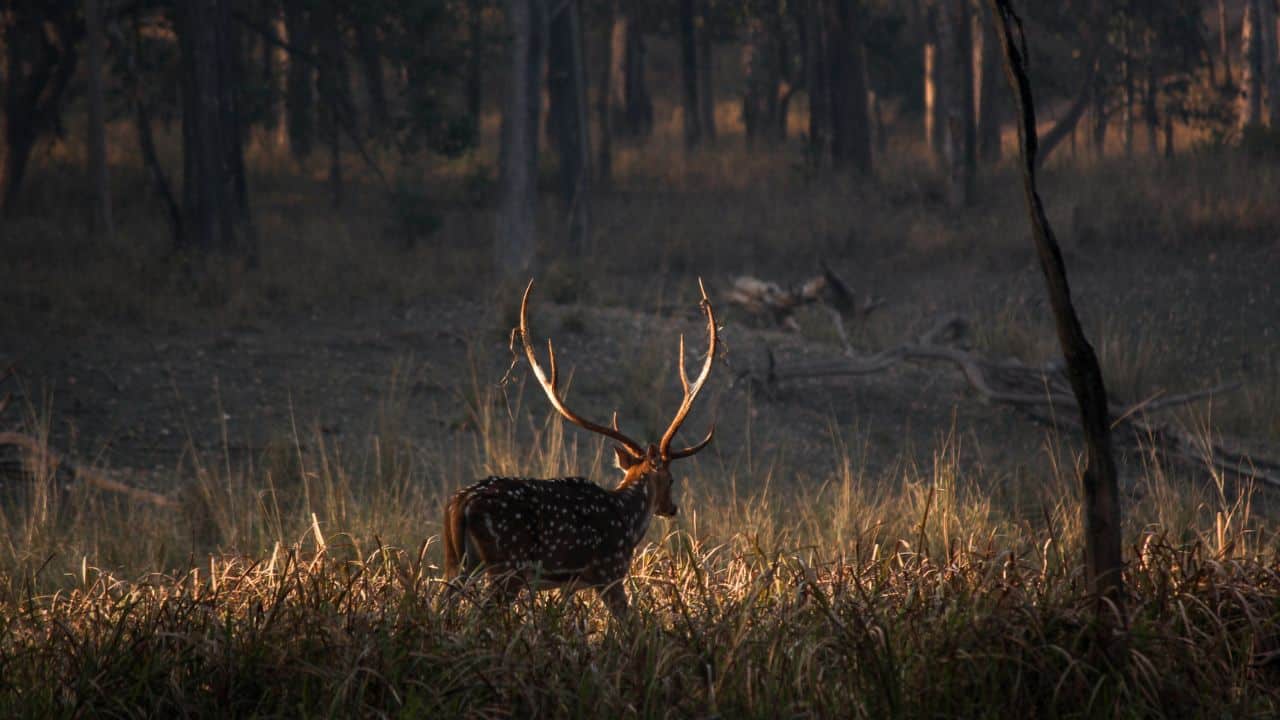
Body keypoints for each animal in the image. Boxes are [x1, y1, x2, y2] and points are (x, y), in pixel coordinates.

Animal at [443, 279, 718, 619]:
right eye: (671, 478)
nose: (672, 507)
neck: (628, 520)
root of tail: (460, 504)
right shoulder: (609, 571)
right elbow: (629, 622)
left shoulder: (571, 584)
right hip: (507, 565)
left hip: (456, 562)